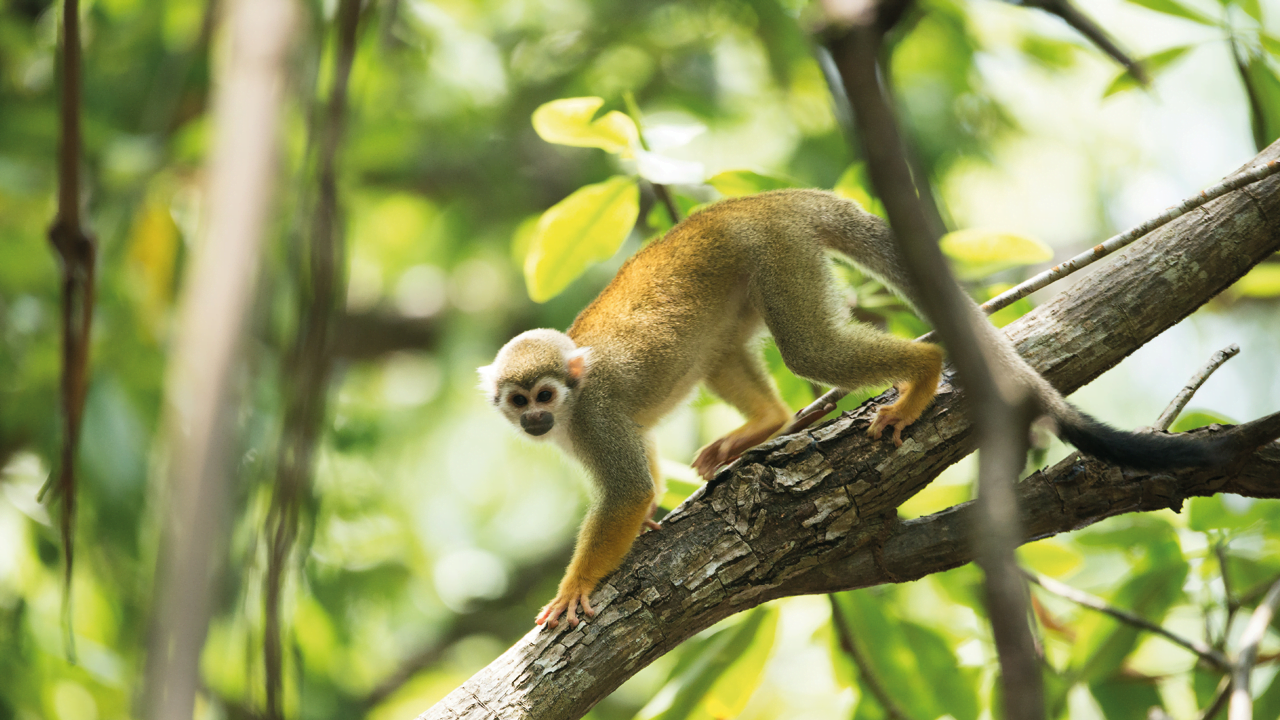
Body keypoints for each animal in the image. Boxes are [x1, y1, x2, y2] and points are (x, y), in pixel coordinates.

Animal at [479, 188, 1269, 629]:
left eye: (544, 395)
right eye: (518, 401)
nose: (533, 420)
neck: (572, 408)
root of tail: (763, 201)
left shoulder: (594, 415)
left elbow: (627, 486)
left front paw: (576, 586)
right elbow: (640, 475)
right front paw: (646, 523)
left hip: (779, 252)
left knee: (809, 350)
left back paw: (920, 374)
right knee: (730, 348)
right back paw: (767, 425)